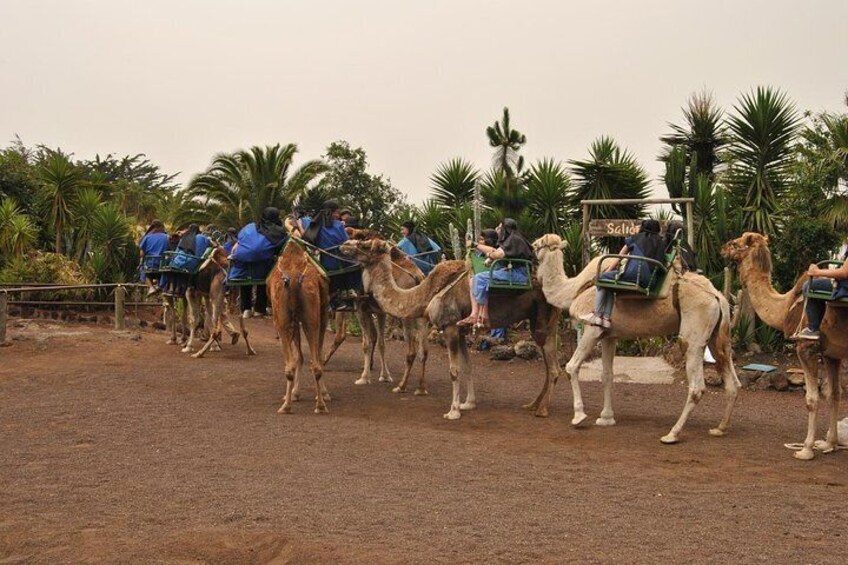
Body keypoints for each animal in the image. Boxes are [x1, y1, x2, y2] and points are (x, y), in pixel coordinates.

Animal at [268, 238, 332, 414]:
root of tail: (295, 280)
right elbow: (305, 356)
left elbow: (298, 357)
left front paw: (294, 394)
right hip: (312, 317)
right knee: (315, 363)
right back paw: (319, 405)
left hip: (285, 320)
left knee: (292, 364)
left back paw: (288, 406)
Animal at [338, 237, 564, 418]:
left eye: (364, 243)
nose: (344, 245)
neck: (425, 292)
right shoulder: (460, 330)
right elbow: (467, 366)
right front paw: (468, 403)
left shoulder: (449, 328)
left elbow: (454, 370)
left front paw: (453, 411)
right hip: (545, 321)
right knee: (549, 364)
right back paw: (532, 404)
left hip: (542, 320)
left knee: (553, 367)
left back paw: (542, 410)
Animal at [532, 231, 740, 442]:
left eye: (538, 244)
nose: (532, 248)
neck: (573, 289)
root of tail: (718, 297)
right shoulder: (609, 335)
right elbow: (607, 375)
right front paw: (606, 418)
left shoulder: (592, 328)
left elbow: (572, 367)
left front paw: (579, 416)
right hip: (718, 336)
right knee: (733, 381)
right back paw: (719, 428)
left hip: (694, 334)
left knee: (697, 385)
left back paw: (672, 434)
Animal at [720, 232, 844, 458]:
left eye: (735, 243)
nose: (722, 248)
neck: (785, 307)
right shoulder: (831, 353)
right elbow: (833, 394)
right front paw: (828, 444)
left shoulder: (806, 349)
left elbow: (812, 399)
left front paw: (806, 449)